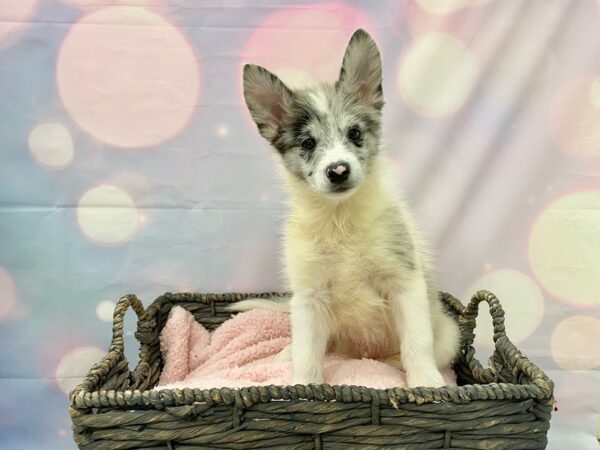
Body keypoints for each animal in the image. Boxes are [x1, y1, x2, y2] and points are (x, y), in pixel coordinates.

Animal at [234, 29, 460, 386]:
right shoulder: (309, 297)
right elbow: (309, 352)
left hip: (450, 334)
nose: (338, 170)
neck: (340, 218)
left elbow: (417, 343)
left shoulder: (405, 283)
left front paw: (427, 383)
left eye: (354, 133)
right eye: (308, 143)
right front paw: (302, 385)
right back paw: (287, 352)